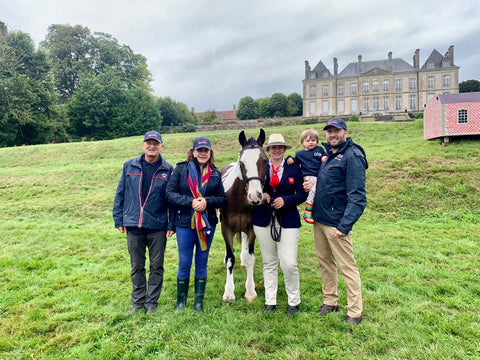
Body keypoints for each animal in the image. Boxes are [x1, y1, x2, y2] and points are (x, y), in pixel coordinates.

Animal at [220, 128, 268, 302]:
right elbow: (230, 259)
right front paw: (228, 292)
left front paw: (250, 290)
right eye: (242, 163)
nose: (255, 196)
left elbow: (250, 257)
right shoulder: (226, 228)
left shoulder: (252, 228)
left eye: (265, 161)